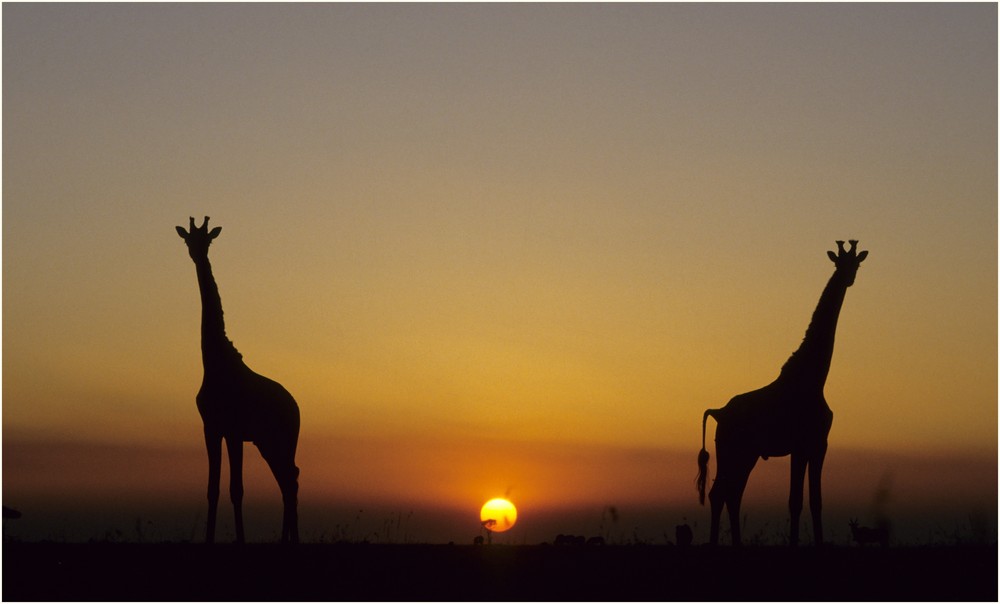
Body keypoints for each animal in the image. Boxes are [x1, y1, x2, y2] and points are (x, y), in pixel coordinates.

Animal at [176, 216, 300, 544]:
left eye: (208, 240)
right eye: (188, 239)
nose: (197, 254)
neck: (215, 363)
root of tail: (296, 408)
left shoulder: (232, 430)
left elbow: (237, 489)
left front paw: (241, 540)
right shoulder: (211, 428)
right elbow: (212, 489)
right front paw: (208, 540)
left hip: (283, 440)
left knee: (291, 478)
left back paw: (291, 540)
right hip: (267, 442)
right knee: (289, 479)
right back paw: (286, 540)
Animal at [696, 241, 868, 548]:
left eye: (856, 263)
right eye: (839, 263)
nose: (848, 278)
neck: (814, 380)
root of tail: (718, 411)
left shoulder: (817, 444)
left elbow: (815, 501)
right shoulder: (802, 445)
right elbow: (797, 501)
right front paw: (797, 543)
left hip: (746, 453)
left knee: (730, 494)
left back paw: (736, 544)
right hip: (733, 450)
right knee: (721, 494)